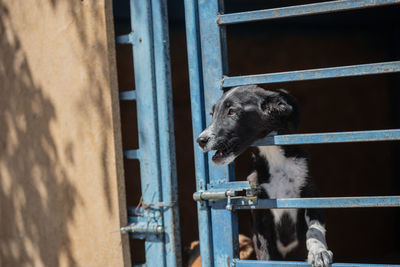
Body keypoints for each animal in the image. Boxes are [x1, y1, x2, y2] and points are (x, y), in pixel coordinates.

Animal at [196, 86, 332, 267]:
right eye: (212, 114)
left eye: (232, 111)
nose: (200, 140)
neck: (274, 159)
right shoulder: (259, 214)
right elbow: (265, 254)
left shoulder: (311, 195)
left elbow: (314, 230)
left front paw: (319, 252)